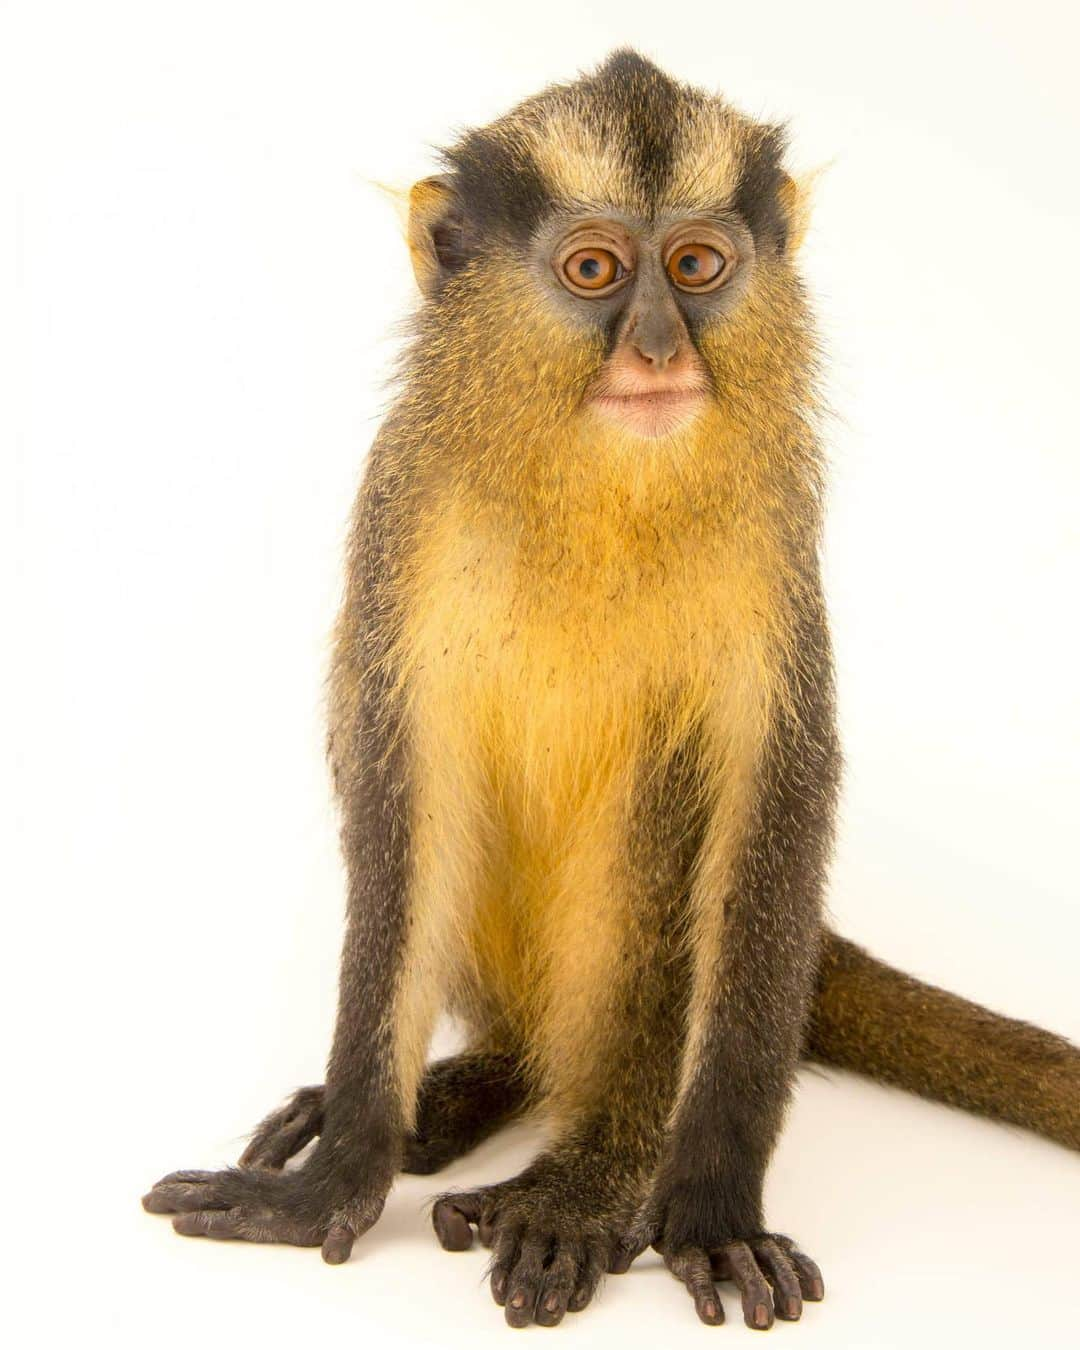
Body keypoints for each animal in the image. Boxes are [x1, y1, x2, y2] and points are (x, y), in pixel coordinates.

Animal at [141, 49, 1080, 1328]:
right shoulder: (403, 507)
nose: (657, 349)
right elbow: (405, 776)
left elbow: (773, 776)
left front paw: (711, 1206)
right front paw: (340, 1173)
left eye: (695, 267)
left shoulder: (775, 525)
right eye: (594, 271)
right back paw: (475, 1092)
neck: (598, 482)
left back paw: (587, 1177)